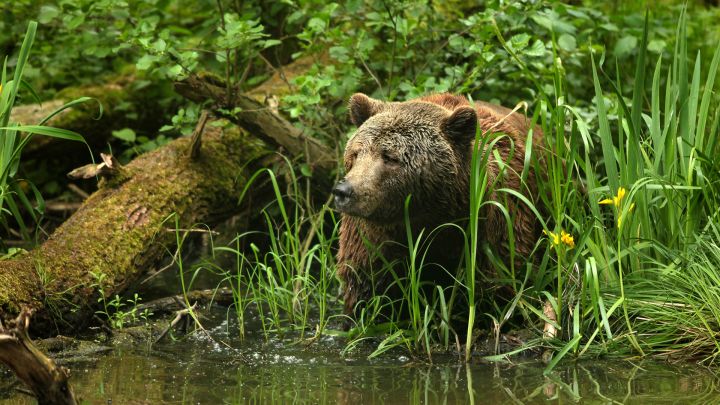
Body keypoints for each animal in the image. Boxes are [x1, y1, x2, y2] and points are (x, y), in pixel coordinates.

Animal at [332, 93, 540, 318]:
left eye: (390, 157)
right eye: (355, 153)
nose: (344, 191)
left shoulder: (492, 228)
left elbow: (496, 285)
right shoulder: (372, 240)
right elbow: (367, 288)